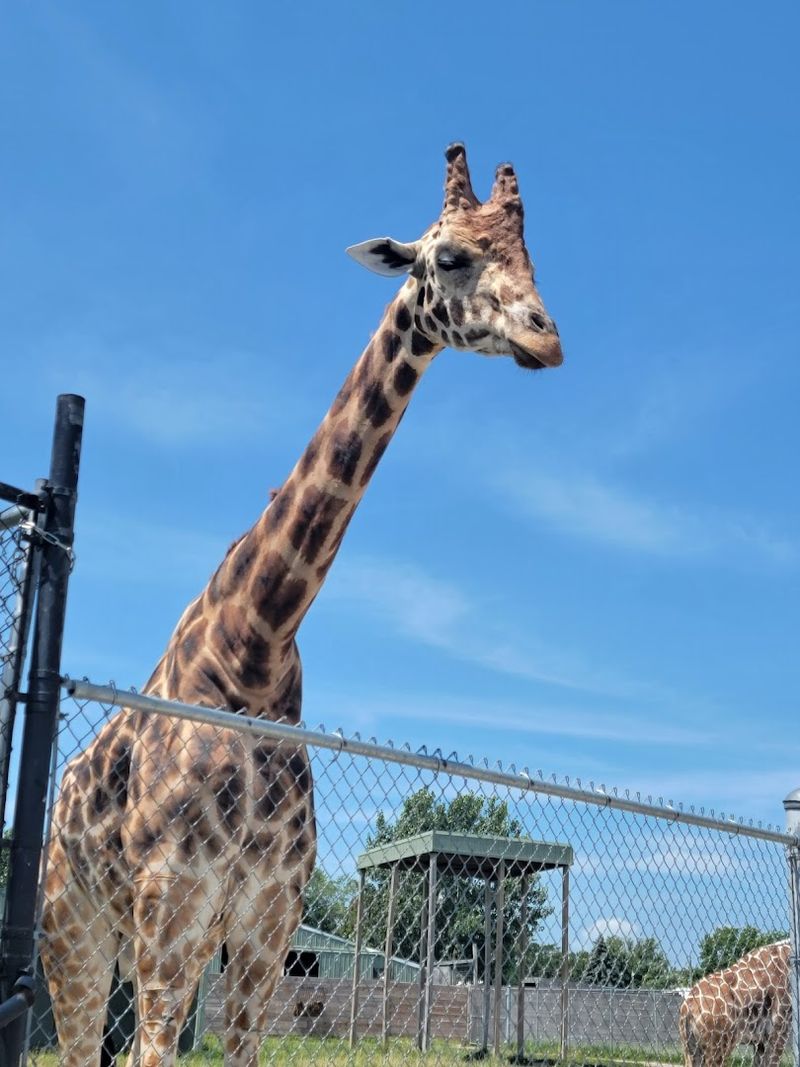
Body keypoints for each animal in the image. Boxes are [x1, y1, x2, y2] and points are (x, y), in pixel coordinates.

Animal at [39, 142, 563, 1067]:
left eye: (536, 260)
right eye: (449, 256)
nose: (548, 335)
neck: (255, 642)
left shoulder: (264, 920)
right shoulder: (175, 908)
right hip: (77, 930)